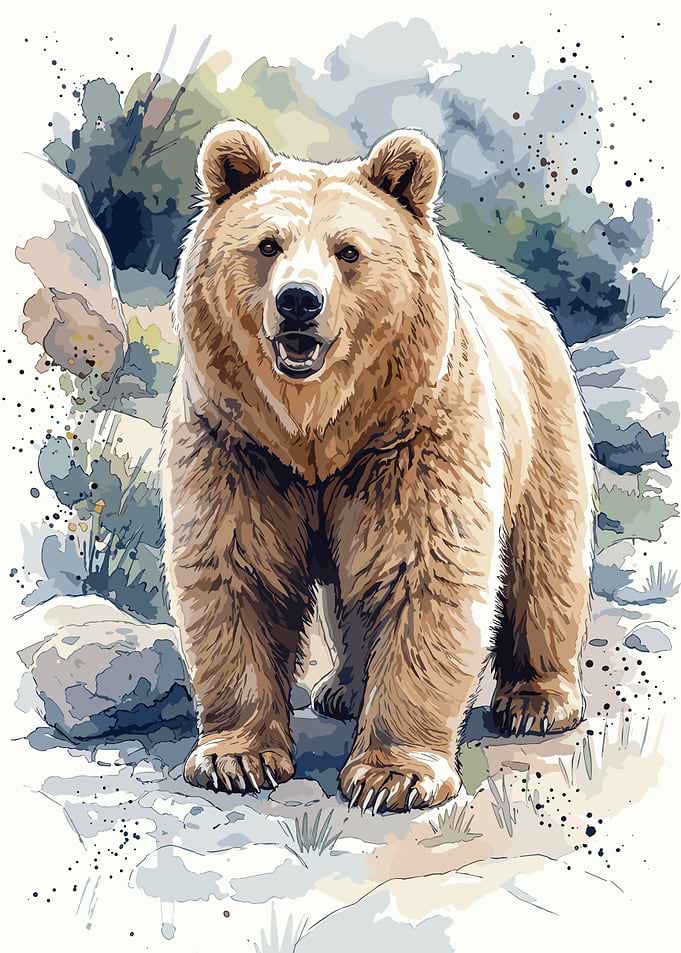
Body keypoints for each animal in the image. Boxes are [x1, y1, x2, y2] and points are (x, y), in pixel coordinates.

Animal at [161, 120, 594, 813]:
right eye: (267, 244)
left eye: (348, 251)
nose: (299, 302)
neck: (317, 430)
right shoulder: (238, 445)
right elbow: (236, 567)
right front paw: (237, 758)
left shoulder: (415, 438)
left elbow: (424, 570)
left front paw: (394, 776)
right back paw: (342, 688)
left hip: (540, 420)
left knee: (544, 557)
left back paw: (536, 700)